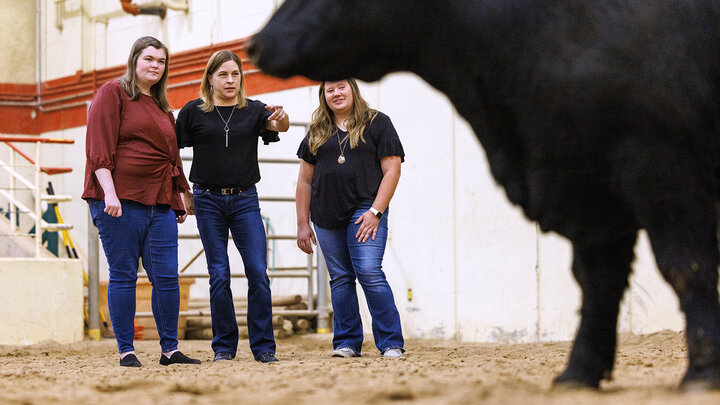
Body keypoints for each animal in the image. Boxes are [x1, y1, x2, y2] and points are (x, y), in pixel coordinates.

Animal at [248, 0, 720, 388]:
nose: (256, 44)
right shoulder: (588, 186)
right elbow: (598, 279)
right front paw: (578, 373)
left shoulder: (660, 167)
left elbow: (686, 267)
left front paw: (701, 373)